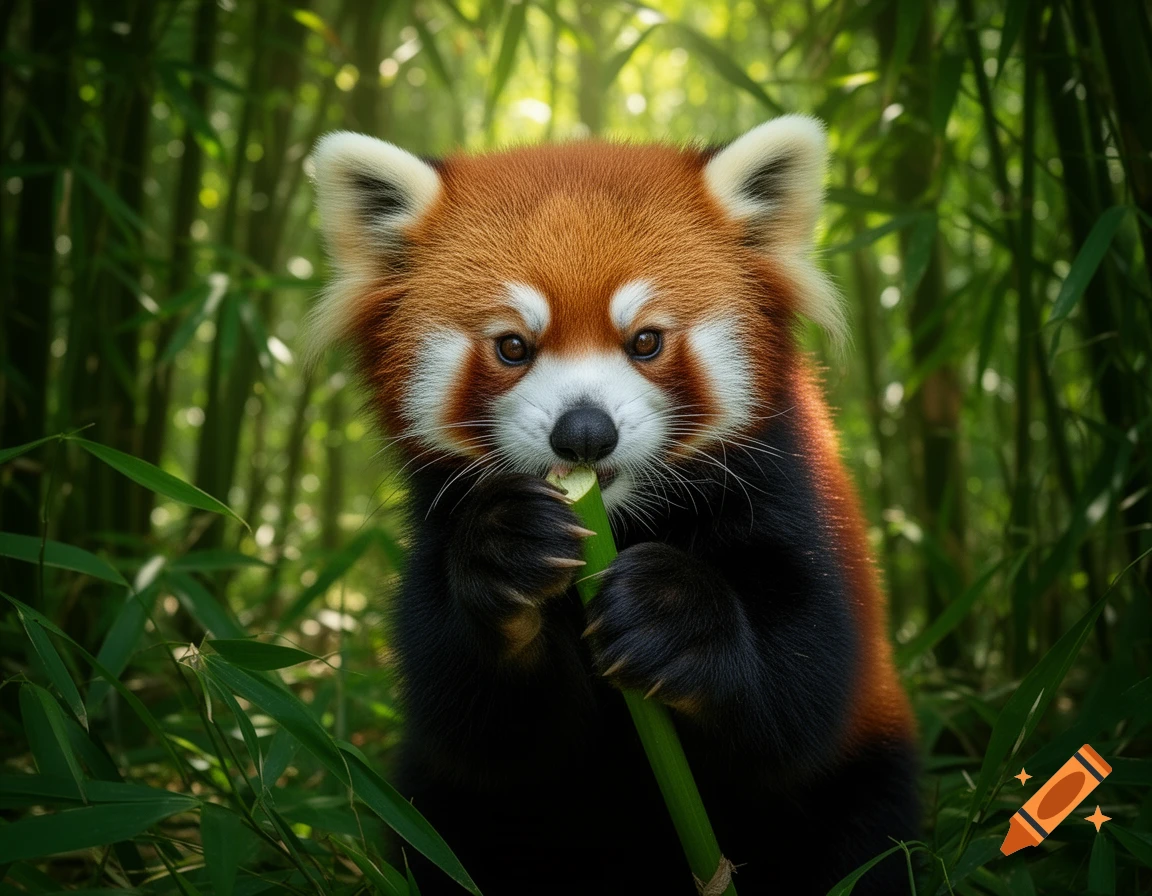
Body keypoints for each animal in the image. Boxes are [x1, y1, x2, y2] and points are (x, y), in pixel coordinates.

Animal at [308, 116, 918, 895]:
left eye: (646, 341)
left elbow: (801, 700)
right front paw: (505, 547)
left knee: (868, 833)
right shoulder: (435, 535)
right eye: (513, 346)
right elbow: (478, 725)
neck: (623, 517)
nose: (585, 432)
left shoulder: (798, 497)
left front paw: (673, 611)